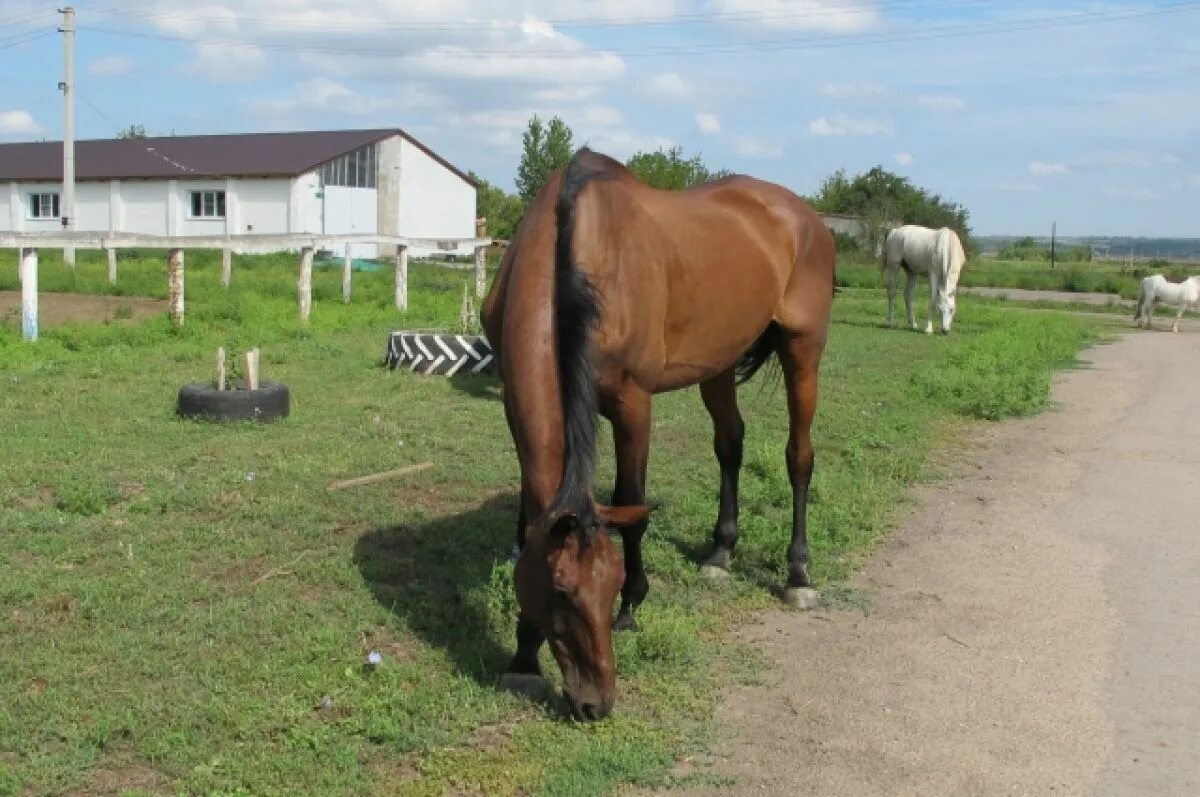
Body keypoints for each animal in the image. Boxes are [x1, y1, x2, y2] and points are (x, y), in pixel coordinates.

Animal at [477, 144, 835, 720]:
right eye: (560, 592)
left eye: (611, 583)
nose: (597, 702)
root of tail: (804, 215)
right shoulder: (512, 401)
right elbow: (530, 516)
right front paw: (524, 657)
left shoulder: (632, 403)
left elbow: (632, 503)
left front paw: (633, 606)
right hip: (719, 361)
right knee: (730, 444)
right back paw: (720, 553)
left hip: (803, 348)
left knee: (798, 455)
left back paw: (798, 575)